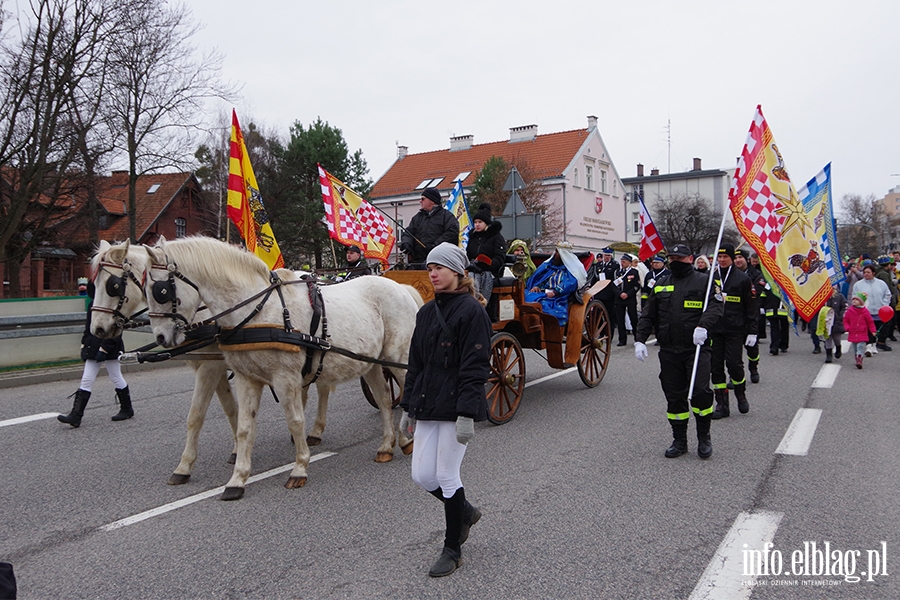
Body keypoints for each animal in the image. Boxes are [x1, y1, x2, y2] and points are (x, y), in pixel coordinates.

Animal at [142, 237, 422, 500]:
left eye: (161, 290)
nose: (161, 337)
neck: (257, 311)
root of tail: (401, 287)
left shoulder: (285, 377)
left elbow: (295, 421)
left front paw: (299, 468)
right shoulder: (246, 378)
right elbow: (244, 427)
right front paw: (237, 479)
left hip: (397, 357)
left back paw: (408, 439)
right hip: (372, 363)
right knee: (384, 400)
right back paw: (388, 445)